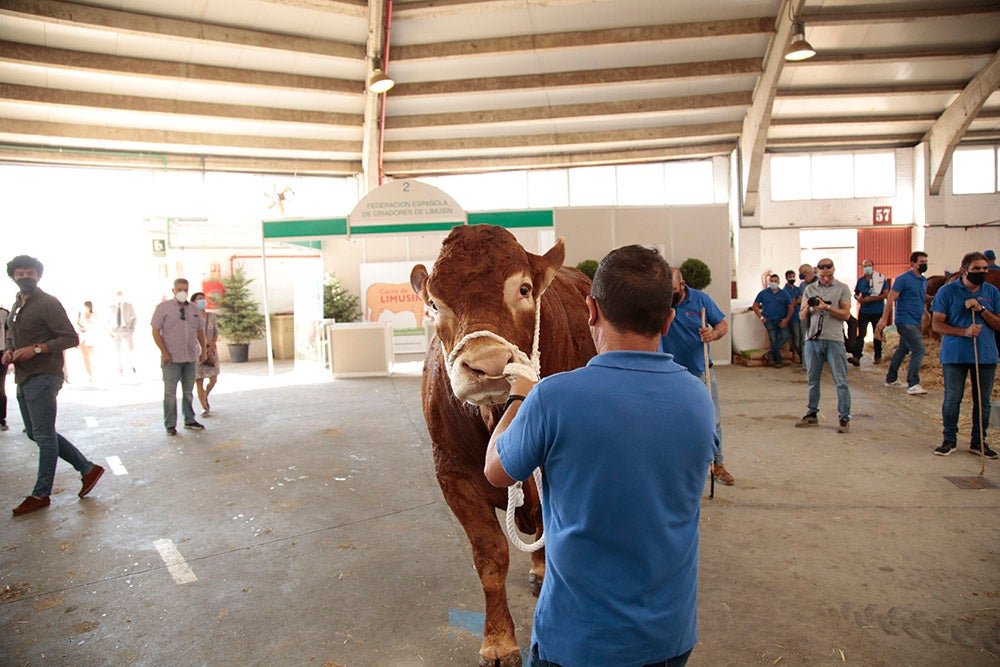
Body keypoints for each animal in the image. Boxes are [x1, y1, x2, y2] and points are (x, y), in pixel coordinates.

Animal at [408, 226, 592, 667]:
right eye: (435, 304)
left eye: (523, 289)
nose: (488, 363)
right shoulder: (451, 472)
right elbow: (490, 556)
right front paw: (498, 641)